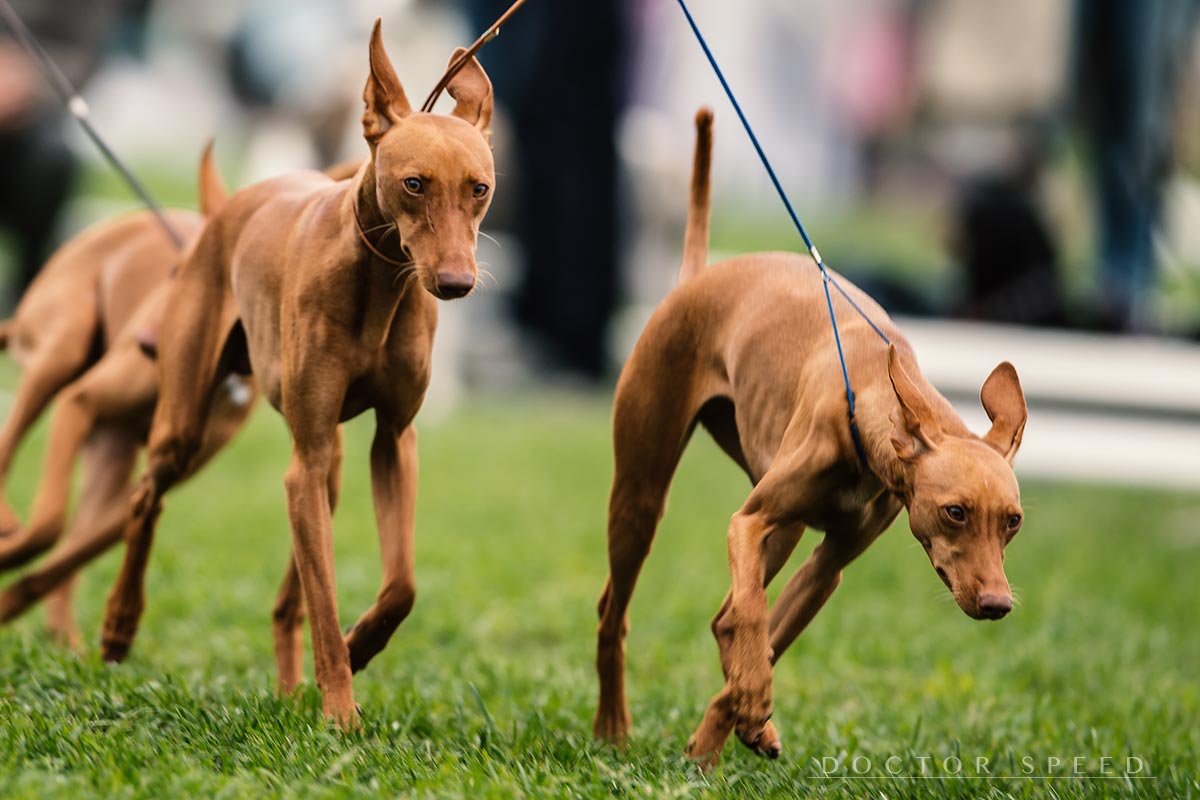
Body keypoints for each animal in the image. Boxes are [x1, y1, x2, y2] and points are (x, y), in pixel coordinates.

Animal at [0, 149, 255, 647]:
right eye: (173, 273)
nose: (148, 344)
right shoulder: (78, 402)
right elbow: (48, 525)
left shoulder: (152, 483)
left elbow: (69, 553)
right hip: (64, 344)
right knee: (7, 445)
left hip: (111, 456)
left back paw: (65, 638)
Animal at [595, 109, 1027, 767]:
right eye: (955, 512)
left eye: (1013, 522)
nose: (999, 605)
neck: (868, 396)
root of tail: (697, 278)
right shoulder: (747, 524)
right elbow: (751, 618)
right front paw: (748, 703)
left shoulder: (829, 567)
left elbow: (762, 635)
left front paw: (733, 725)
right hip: (643, 496)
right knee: (621, 613)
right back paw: (614, 727)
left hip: (788, 527)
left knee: (725, 618)